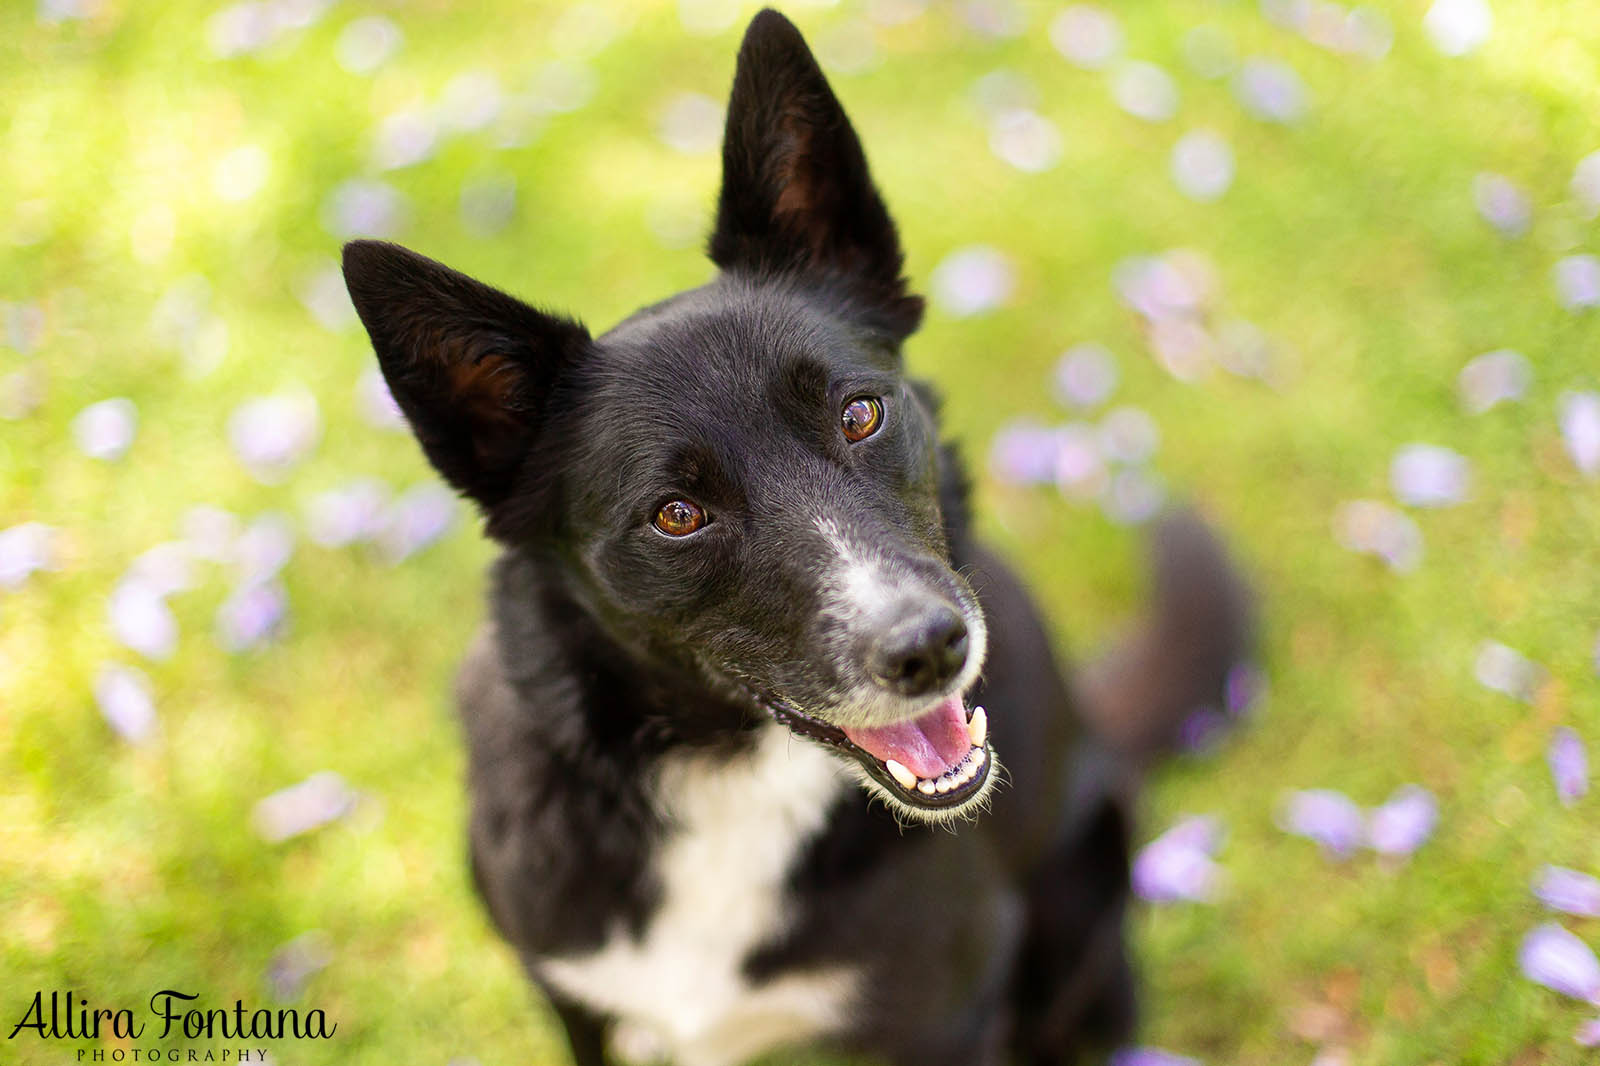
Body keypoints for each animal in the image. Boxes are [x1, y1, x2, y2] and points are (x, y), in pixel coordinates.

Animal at [347, 10, 1248, 1062]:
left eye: (859, 414)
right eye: (677, 515)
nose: (931, 648)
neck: (729, 781)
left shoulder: (945, 1014)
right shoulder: (582, 1005)